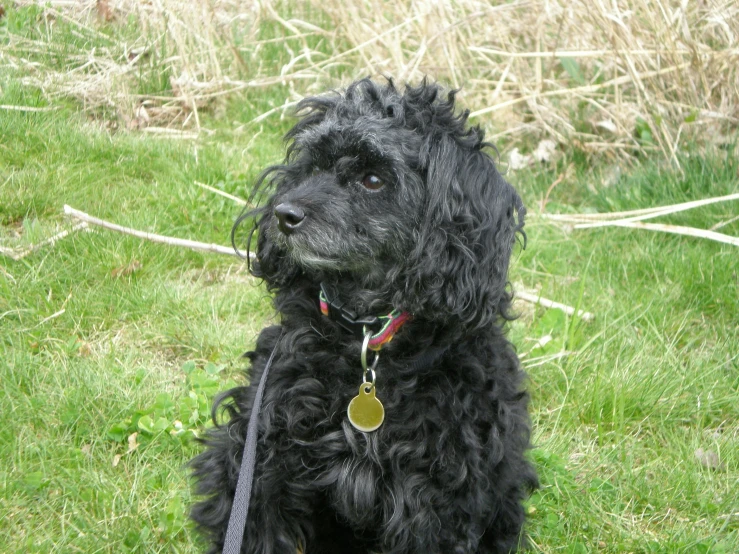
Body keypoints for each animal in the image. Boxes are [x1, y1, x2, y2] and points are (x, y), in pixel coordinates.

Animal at [191, 78, 536, 552]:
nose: (283, 215)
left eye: (373, 180)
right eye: (313, 166)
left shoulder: (436, 503)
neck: (365, 338)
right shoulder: (260, 468)